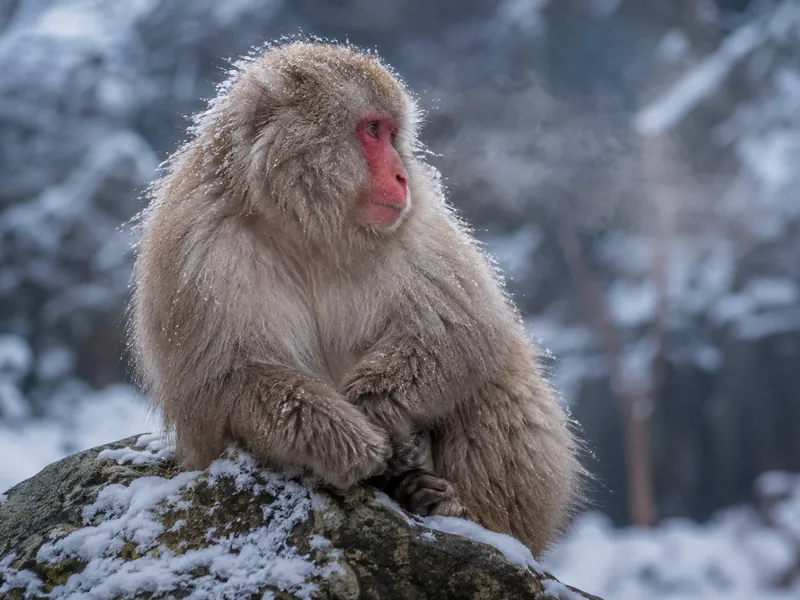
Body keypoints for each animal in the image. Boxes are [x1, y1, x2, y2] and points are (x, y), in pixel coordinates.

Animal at [130, 41, 582, 557]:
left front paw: (375, 410)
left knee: (494, 375)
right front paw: (346, 439)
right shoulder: (197, 249)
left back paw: (456, 509)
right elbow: (223, 380)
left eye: (392, 134)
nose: (403, 176)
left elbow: (459, 331)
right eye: (373, 130)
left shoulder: (418, 225)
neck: (306, 230)